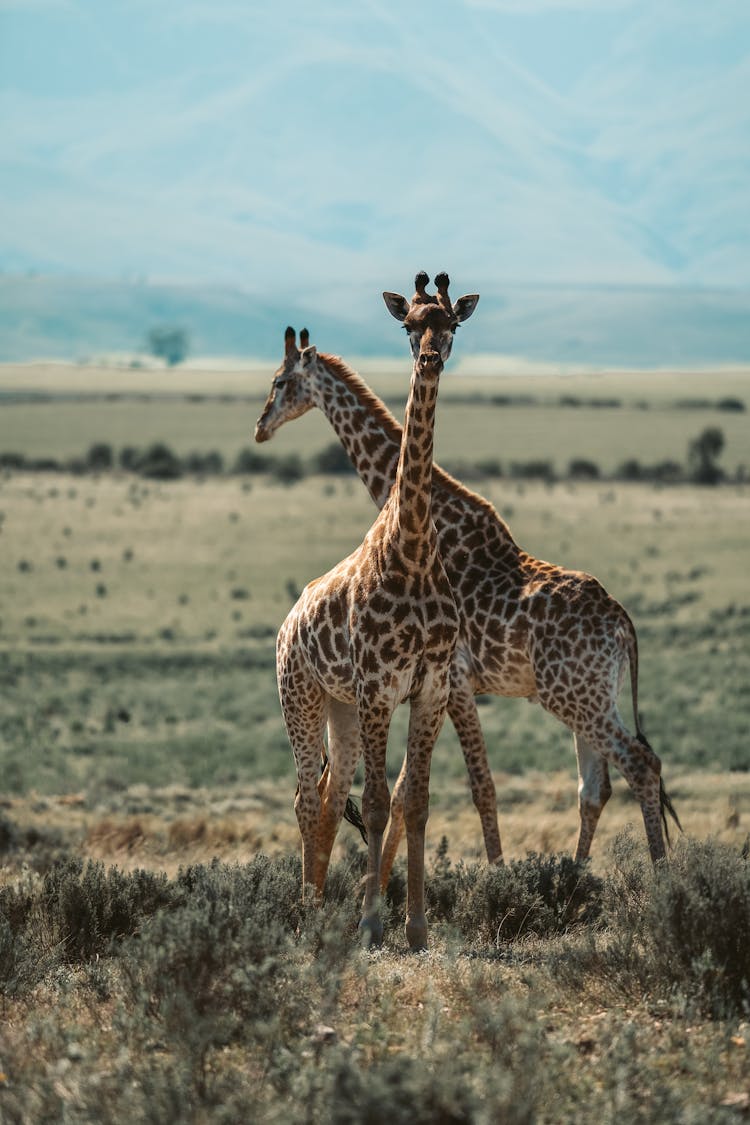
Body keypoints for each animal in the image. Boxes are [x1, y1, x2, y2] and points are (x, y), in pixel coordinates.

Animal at [256, 306, 679, 868]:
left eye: (280, 382)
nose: (260, 427)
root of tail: (623, 624)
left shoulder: (452, 679)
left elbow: (473, 788)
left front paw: (492, 873)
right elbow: (415, 790)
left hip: (572, 695)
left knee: (640, 764)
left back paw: (661, 874)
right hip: (594, 693)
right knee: (597, 786)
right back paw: (576, 873)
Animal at [273, 274, 479, 949]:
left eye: (451, 324)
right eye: (408, 324)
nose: (430, 357)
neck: (412, 547)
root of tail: (287, 624)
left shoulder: (431, 686)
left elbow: (416, 802)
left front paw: (414, 927)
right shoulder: (378, 686)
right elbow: (381, 802)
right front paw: (369, 923)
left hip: (338, 707)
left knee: (327, 796)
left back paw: (318, 908)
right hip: (302, 696)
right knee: (305, 797)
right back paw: (308, 914)